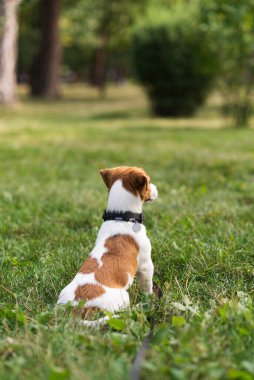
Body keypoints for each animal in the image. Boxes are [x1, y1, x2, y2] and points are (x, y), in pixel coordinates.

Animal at [56, 166, 158, 324]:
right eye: (148, 182)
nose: (156, 188)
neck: (121, 216)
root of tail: (75, 309)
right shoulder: (146, 265)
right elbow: (147, 287)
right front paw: (150, 298)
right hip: (123, 297)